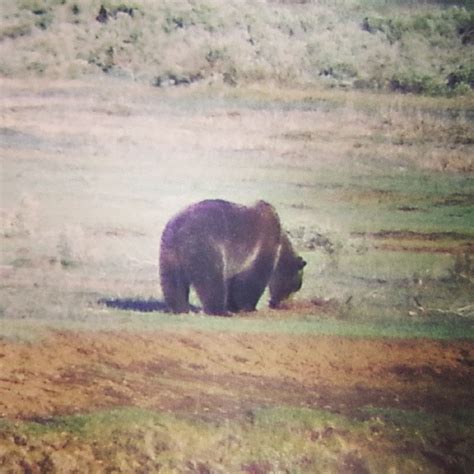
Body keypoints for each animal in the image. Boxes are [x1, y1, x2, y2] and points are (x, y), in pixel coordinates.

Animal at [159, 199, 308, 314]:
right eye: (296, 286)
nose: (280, 304)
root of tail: (179, 228)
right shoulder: (260, 247)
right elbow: (253, 279)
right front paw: (248, 307)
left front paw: (234, 306)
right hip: (205, 245)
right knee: (211, 280)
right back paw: (219, 310)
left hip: (169, 250)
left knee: (172, 281)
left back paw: (179, 308)